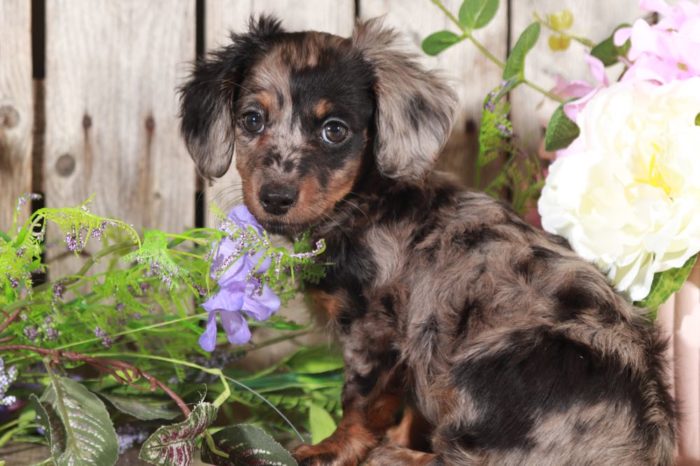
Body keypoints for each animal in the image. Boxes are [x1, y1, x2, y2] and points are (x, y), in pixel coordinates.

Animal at [180, 15, 680, 466]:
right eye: (252, 119)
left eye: (334, 130)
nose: (276, 197)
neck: (367, 205)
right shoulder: (418, 351)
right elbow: (409, 411)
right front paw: (395, 438)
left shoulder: (375, 336)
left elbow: (361, 402)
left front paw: (334, 448)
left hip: (491, 365)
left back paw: (393, 458)